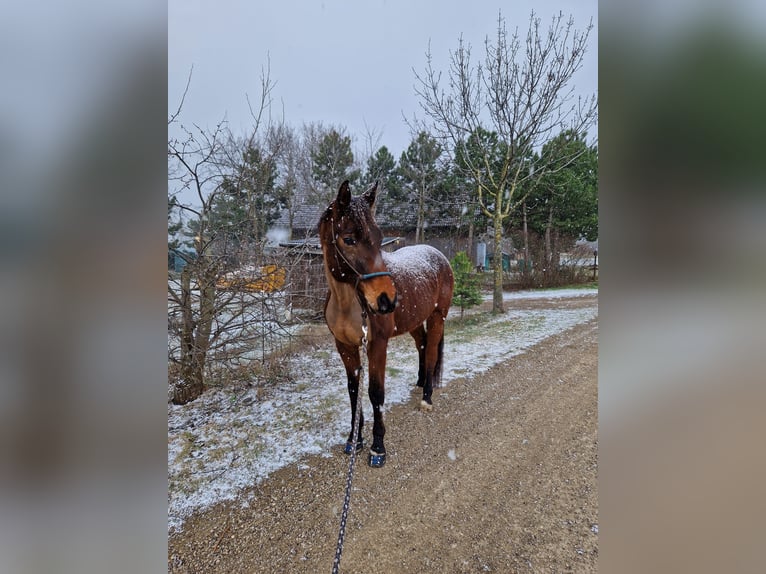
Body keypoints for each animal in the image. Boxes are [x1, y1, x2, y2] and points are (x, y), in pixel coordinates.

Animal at [318, 182, 456, 470]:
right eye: (349, 239)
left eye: (379, 236)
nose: (386, 299)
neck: (348, 303)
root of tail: (438, 255)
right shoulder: (344, 347)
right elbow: (354, 393)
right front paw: (354, 441)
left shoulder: (376, 345)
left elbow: (375, 393)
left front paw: (377, 448)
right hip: (414, 321)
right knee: (422, 345)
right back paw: (420, 381)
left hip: (438, 316)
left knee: (431, 352)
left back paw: (426, 397)